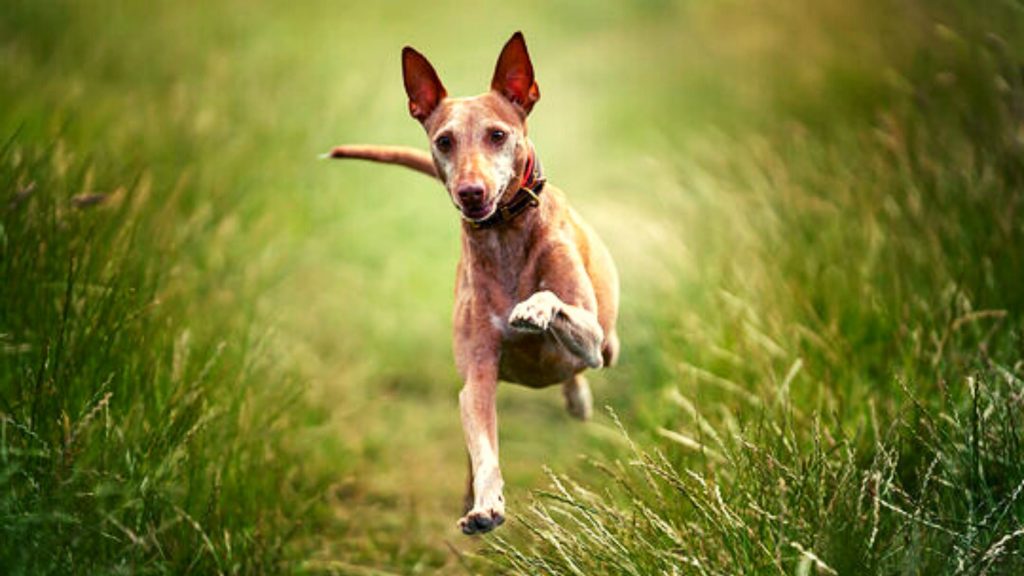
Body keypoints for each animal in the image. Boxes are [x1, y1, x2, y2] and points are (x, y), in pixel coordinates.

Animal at [323, 31, 618, 532]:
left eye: (497, 135)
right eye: (444, 141)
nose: (470, 192)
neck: (504, 235)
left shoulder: (590, 336)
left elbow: (553, 302)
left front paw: (534, 308)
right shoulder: (478, 377)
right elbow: (483, 448)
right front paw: (486, 504)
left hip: (608, 345)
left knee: (585, 368)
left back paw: (578, 400)